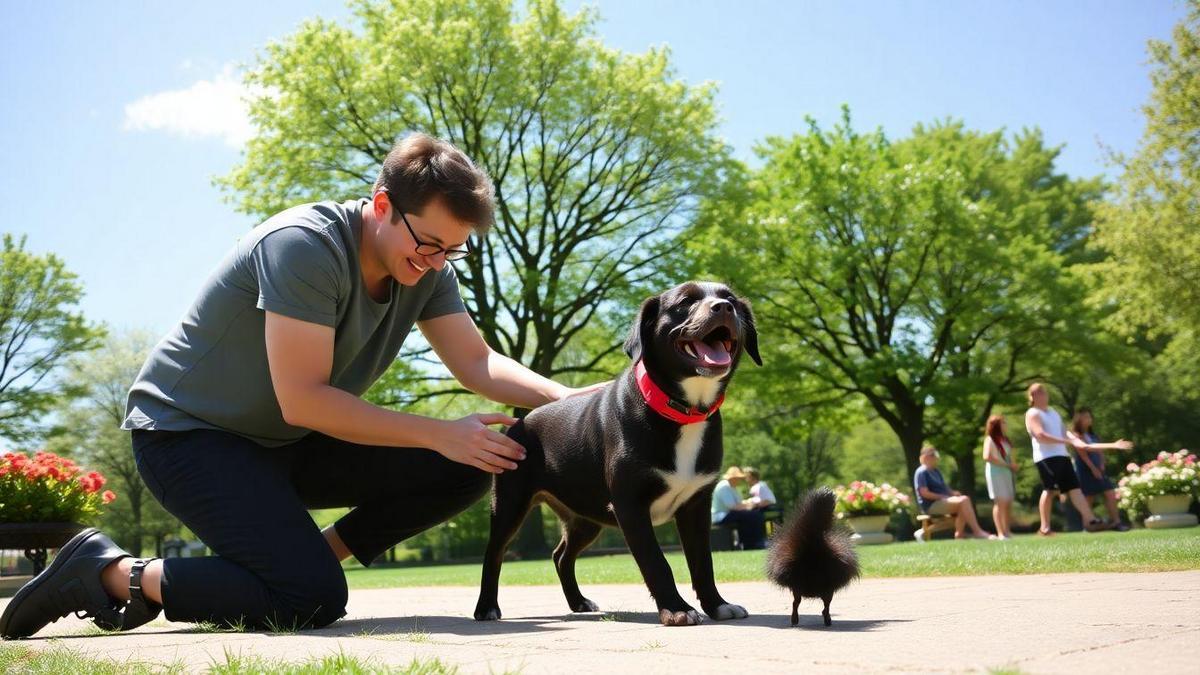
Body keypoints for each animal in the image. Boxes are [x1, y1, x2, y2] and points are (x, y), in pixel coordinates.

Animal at [470, 279, 758, 624]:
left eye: (731, 300)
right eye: (684, 302)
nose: (723, 308)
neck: (683, 410)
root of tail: (520, 422)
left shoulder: (696, 505)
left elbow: (703, 562)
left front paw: (717, 604)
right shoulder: (630, 505)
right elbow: (656, 562)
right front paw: (677, 609)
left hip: (585, 516)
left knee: (561, 556)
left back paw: (578, 602)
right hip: (510, 503)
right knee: (494, 553)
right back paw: (486, 606)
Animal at [763, 482, 859, 624]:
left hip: (803, 586)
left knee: (797, 602)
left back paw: (797, 619)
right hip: (821, 588)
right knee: (820, 604)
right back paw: (823, 619)